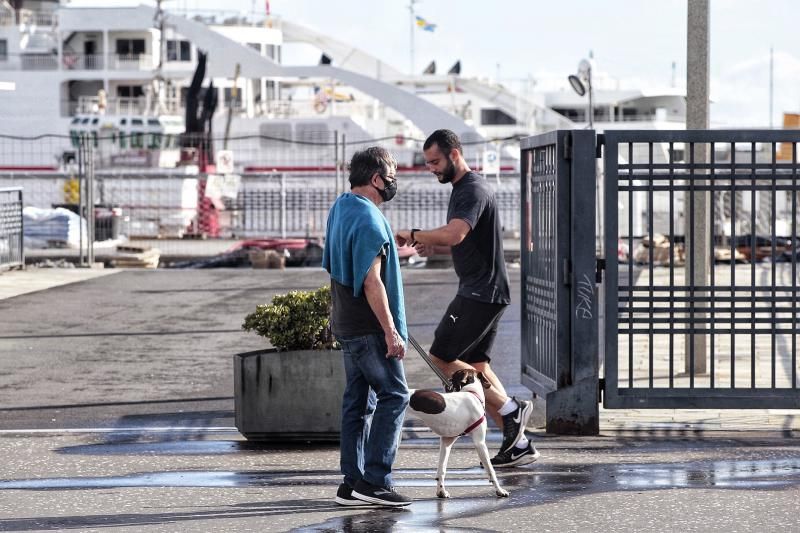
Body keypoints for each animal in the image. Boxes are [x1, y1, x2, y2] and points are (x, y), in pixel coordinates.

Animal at [410, 368, 510, 496]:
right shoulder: (480, 443)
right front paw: (500, 490)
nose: (446, 382)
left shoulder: (446, 441)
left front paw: (441, 491)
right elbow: (491, 470)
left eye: (453, 377)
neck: (472, 393)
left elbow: (441, 470)